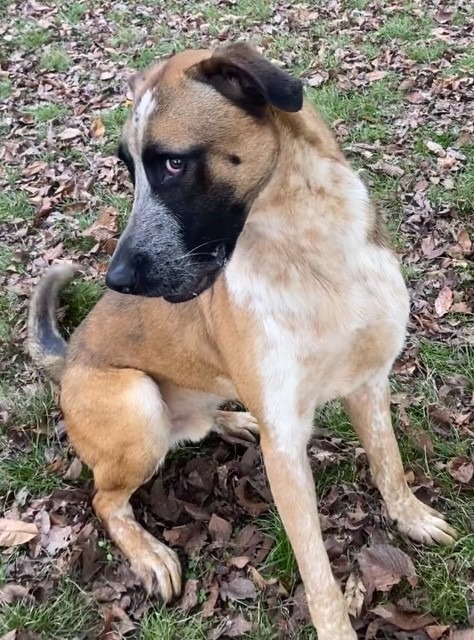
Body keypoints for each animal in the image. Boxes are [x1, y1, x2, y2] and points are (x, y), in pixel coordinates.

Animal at [28, 42, 456, 636]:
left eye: (173, 163)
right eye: (128, 168)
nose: (117, 280)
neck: (309, 254)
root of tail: (67, 361)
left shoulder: (369, 382)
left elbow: (388, 463)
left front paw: (410, 516)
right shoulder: (287, 448)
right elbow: (316, 568)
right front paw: (336, 628)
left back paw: (233, 420)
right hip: (138, 404)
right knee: (105, 500)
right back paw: (149, 553)